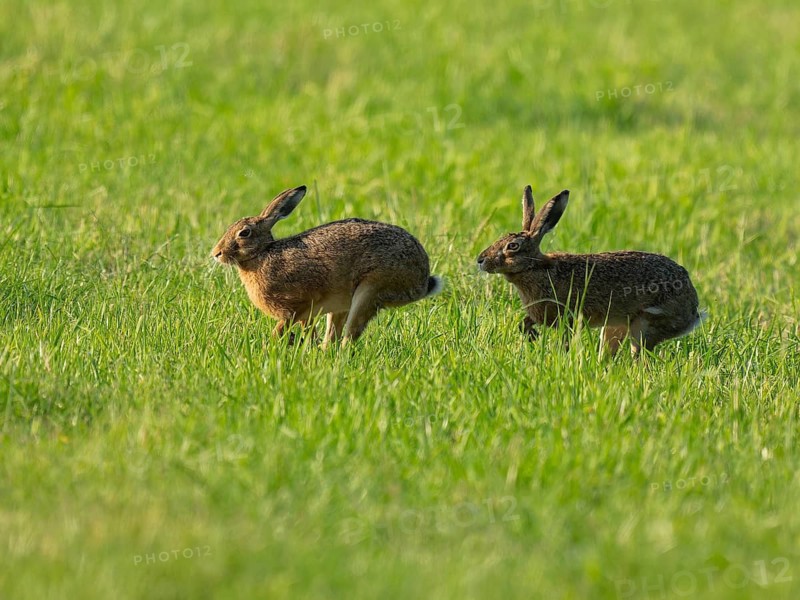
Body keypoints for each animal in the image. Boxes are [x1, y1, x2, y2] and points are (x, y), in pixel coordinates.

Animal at [211, 185, 443, 347]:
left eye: (244, 233)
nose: (216, 254)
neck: (262, 253)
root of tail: (422, 280)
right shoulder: (307, 314)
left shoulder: (297, 306)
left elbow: (280, 329)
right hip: (343, 305)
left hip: (371, 289)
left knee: (349, 337)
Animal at [476, 185, 706, 356]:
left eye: (512, 246)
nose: (480, 260)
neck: (535, 267)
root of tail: (693, 311)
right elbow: (525, 323)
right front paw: (531, 336)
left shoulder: (567, 317)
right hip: (615, 328)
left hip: (645, 325)